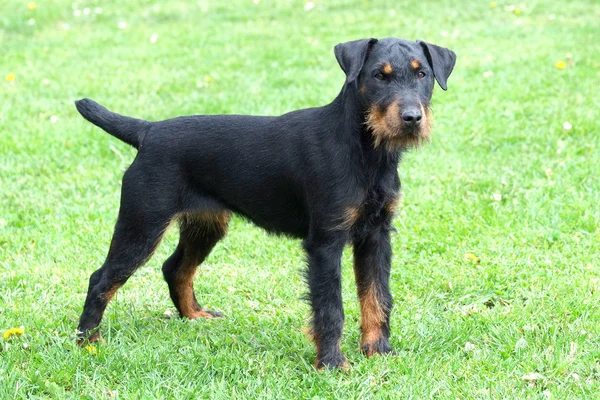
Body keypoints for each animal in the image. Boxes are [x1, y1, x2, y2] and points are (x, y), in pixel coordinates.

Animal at [76, 37, 460, 368]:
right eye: (380, 75)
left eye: (422, 74)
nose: (412, 118)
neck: (367, 152)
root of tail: (148, 131)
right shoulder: (325, 242)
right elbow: (330, 306)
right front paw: (332, 364)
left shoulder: (376, 235)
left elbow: (377, 297)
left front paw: (378, 350)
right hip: (142, 223)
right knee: (102, 278)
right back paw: (88, 342)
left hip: (205, 224)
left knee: (176, 268)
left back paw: (194, 316)